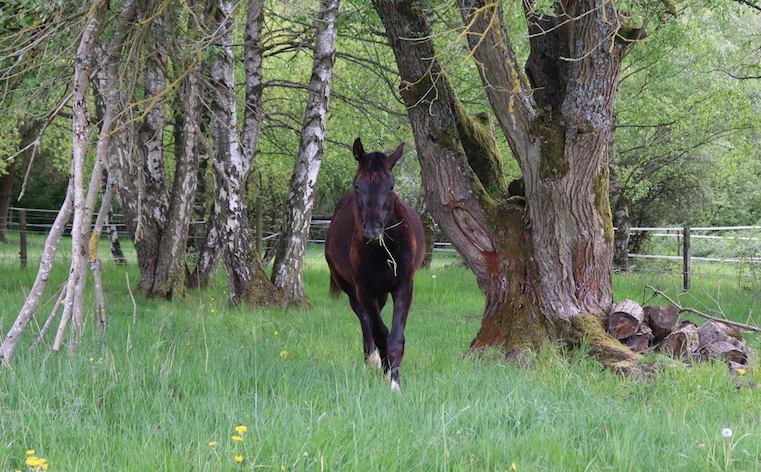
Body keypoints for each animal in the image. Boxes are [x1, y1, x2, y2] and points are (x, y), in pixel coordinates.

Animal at [324, 137, 424, 390]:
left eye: (391, 186)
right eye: (357, 185)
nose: (372, 228)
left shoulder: (403, 287)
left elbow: (395, 337)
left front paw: (394, 382)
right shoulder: (365, 289)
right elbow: (379, 331)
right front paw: (386, 371)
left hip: (382, 293)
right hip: (352, 290)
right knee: (365, 320)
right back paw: (372, 361)